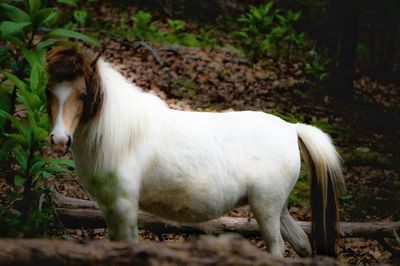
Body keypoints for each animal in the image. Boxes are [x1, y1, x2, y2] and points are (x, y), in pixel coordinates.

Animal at [46, 46, 344, 256]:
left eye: (83, 95)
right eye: (49, 92)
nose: (59, 140)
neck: (122, 135)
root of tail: (291, 129)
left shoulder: (125, 206)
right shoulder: (109, 208)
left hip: (266, 209)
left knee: (277, 247)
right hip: (276, 206)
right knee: (302, 243)